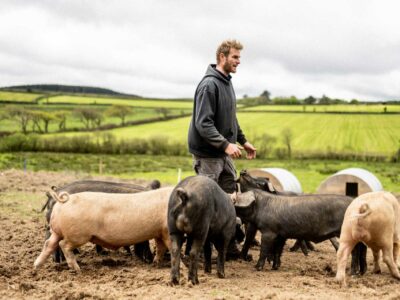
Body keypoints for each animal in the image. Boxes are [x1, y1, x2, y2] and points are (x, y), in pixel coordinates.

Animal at [33, 186, 173, 270]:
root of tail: (65, 201)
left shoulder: (159, 232)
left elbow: (160, 248)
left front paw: (156, 264)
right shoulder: (166, 231)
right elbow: (168, 247)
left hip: (57, 232)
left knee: (49, 244)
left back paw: (36, 266)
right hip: (78, 235)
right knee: (63, 245)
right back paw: (77, 269)